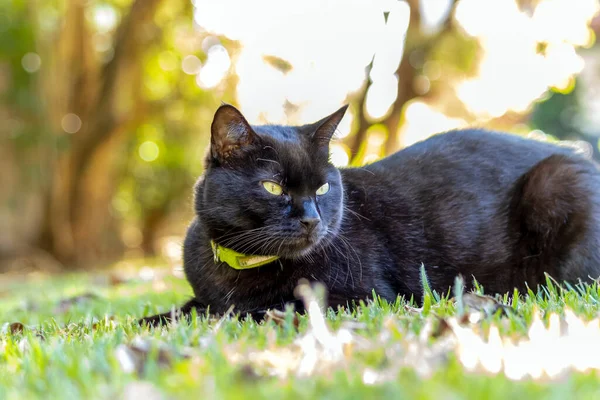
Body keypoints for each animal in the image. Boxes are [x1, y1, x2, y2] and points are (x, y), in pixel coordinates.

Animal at [139, 104, 600, 324]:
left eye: (323, 188)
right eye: (273, 188)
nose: (312, 219)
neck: (244, 265)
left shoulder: (362, 298)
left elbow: (252, 310)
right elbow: (185, 309)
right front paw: (145, 321)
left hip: (557, 182)